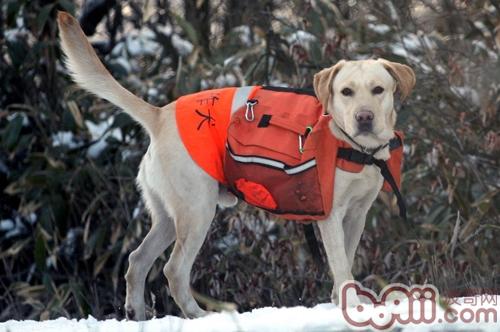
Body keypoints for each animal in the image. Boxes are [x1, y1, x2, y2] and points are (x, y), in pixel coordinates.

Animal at [57, 11, 414, 320]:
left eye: (378, 90)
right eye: (346, 92)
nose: (364, 117)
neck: (358, 149)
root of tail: (159, 115)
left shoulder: (356, 214)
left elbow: (347, 258)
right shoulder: (330, 215)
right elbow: (340, 263)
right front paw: (351, 306)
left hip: (169, 217)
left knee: (137, 260)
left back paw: (137, 314)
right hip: (198, 210)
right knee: (173, 270)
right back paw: (200, 315)